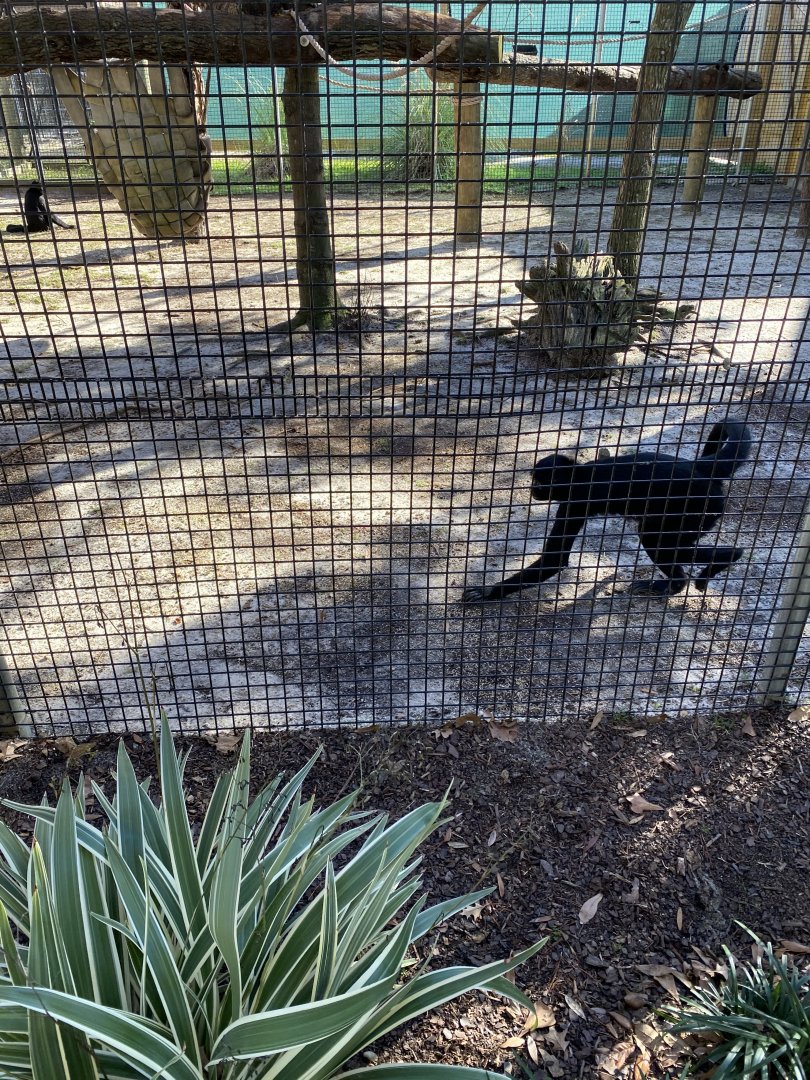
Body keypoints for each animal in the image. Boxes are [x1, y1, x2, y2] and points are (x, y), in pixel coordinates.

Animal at [462, 420, 752, 603]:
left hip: (700, 506)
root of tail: (700, 468)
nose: (533, 488)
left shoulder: (575, 501)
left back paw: (724, 559)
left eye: (539, 481)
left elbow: (555, 559)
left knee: (655, 539)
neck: (582, 473)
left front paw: (488, 592)